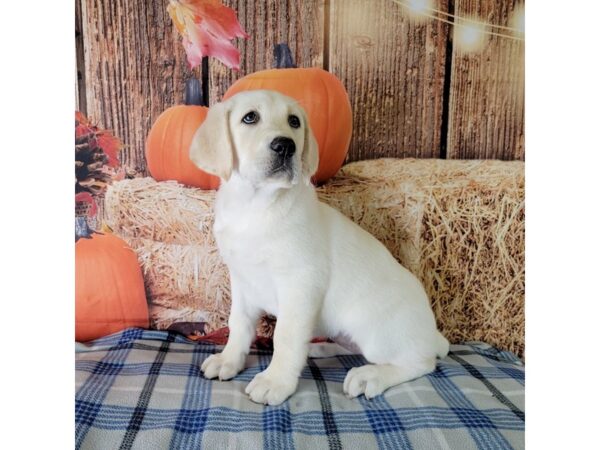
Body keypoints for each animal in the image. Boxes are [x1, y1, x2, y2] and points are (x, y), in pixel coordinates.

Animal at [190, 89, 448, 404]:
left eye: (294, 121)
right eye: (249, 117)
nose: (285, 146)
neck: (255, 207)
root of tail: (432, 333)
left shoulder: (300, 283)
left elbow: (285, 336)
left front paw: (276, 380)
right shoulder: (241, 281)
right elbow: (238, 325)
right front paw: (228, 360)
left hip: (375, 331)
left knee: (420, 362)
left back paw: (370, 376)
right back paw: (318, 348)